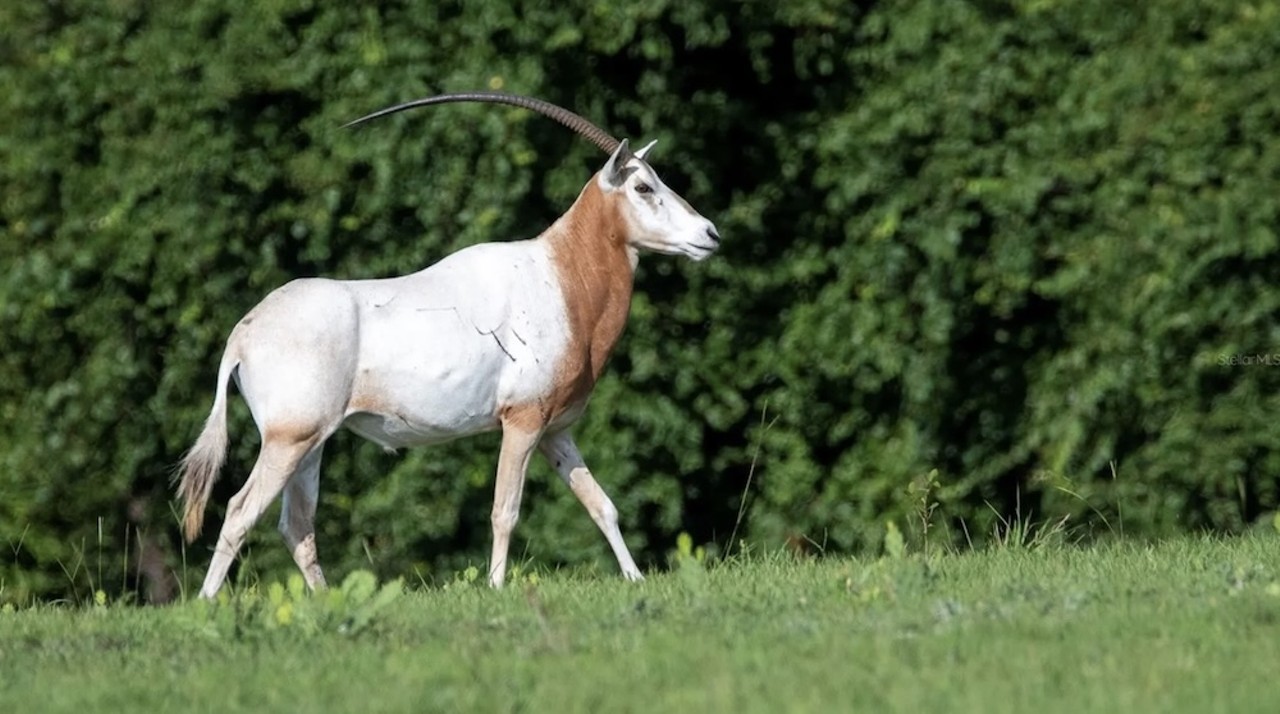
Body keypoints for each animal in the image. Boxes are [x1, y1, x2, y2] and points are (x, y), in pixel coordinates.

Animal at [176, 92, 727, 601]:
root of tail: (243, 334)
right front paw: (497, 587)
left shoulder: (554, 431)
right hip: (289, 439)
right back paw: (207, 603)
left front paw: (635, 578)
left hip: (311, 444)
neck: (562, 274)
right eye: (643, 186)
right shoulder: (521, 421)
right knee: (241, 511)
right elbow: (505, 510)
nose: (710, 234)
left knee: (297, 526)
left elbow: (601, 504)